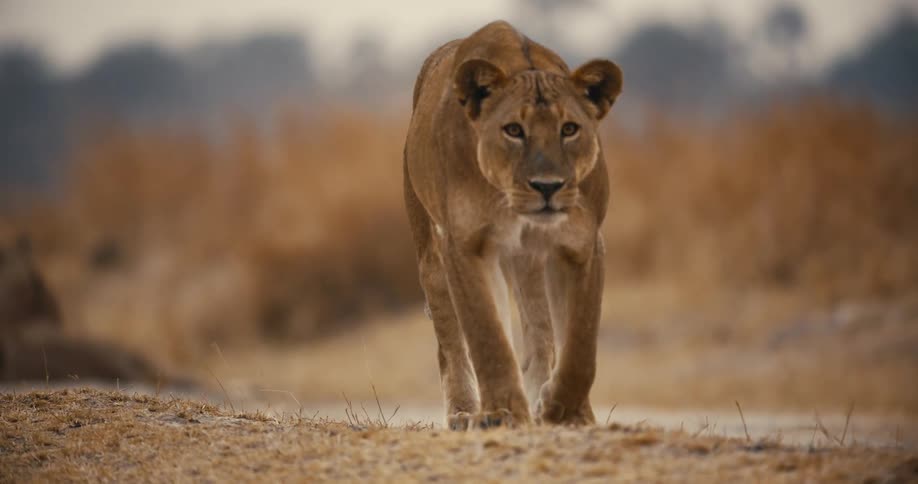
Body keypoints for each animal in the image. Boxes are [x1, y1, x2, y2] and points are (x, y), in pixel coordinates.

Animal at [403, 21, 622, 428]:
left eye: (569, 129)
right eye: (514, 130)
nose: (548, 186)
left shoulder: (582, 243)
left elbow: (581, 342)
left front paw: (565, 411)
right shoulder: (465, 244)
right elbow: (486, 335)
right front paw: (502, 412)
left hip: (527, 261)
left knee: (540, 334)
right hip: (432, 256)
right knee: (452, 341)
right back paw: (464, 412)